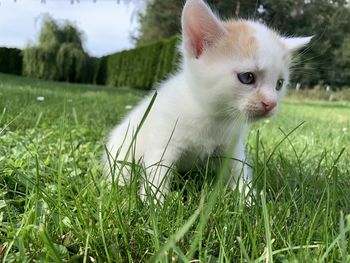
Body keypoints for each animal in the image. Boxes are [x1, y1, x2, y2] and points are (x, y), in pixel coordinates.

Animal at [104, 0, 312, 203]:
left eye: (279, 84)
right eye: (247, 77)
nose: (271, 104)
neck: (213, 116)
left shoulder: (231, 150)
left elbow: (240, 174)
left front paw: (250, 203)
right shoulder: (163, 141)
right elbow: (157, 174)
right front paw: (154, 205)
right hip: (122, 149)